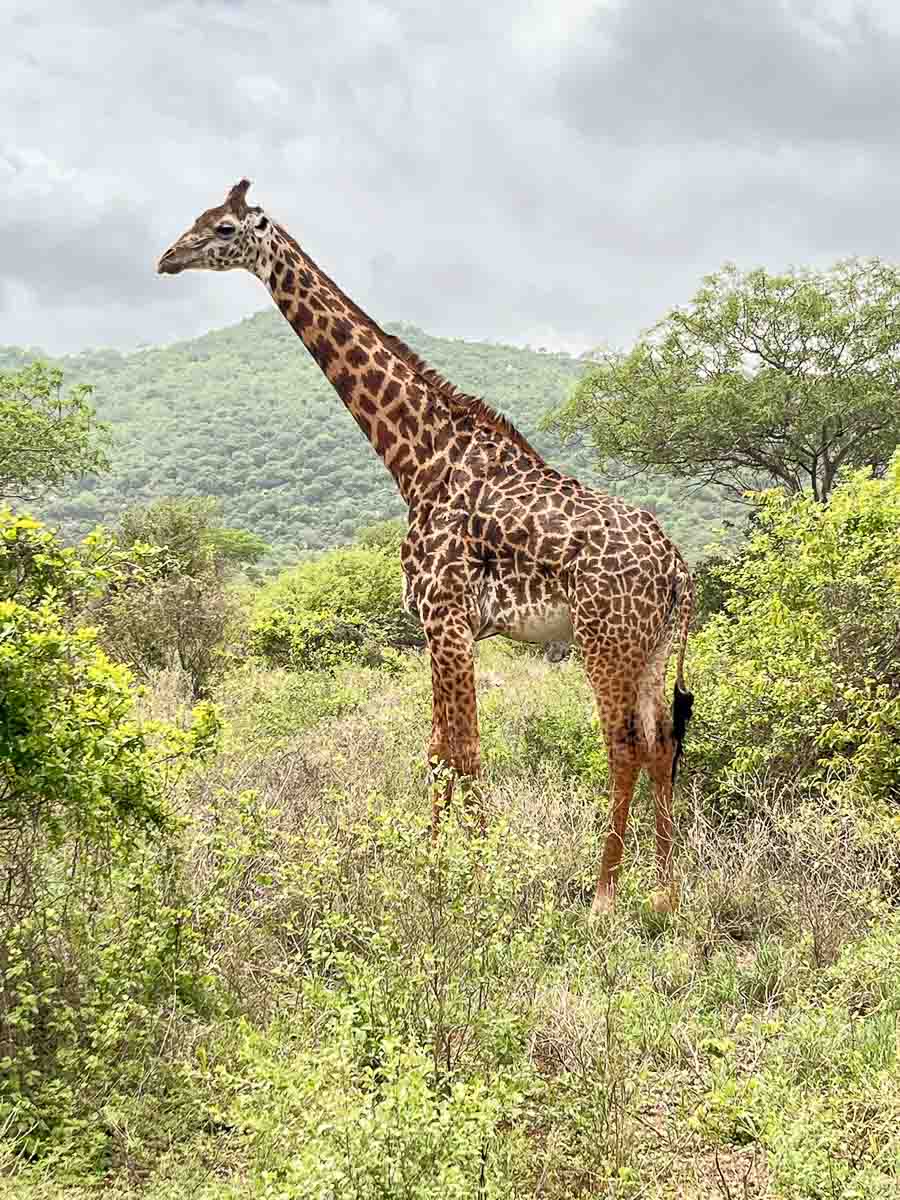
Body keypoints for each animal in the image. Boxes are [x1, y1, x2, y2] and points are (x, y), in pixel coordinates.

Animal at [157, 179, 694, 916]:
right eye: (199, 218)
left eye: (224, 228)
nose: (167, 259)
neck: (416, 459)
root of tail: (677, 568)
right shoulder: (445, 628)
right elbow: (438, 749)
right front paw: (434, 869)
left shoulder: (446, 620)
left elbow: (460, 751)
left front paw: (475, 879)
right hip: (651, 646)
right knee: (662, 743)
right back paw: (667, 895)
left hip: (604, 640)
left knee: (623, 747)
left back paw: (604, 897)